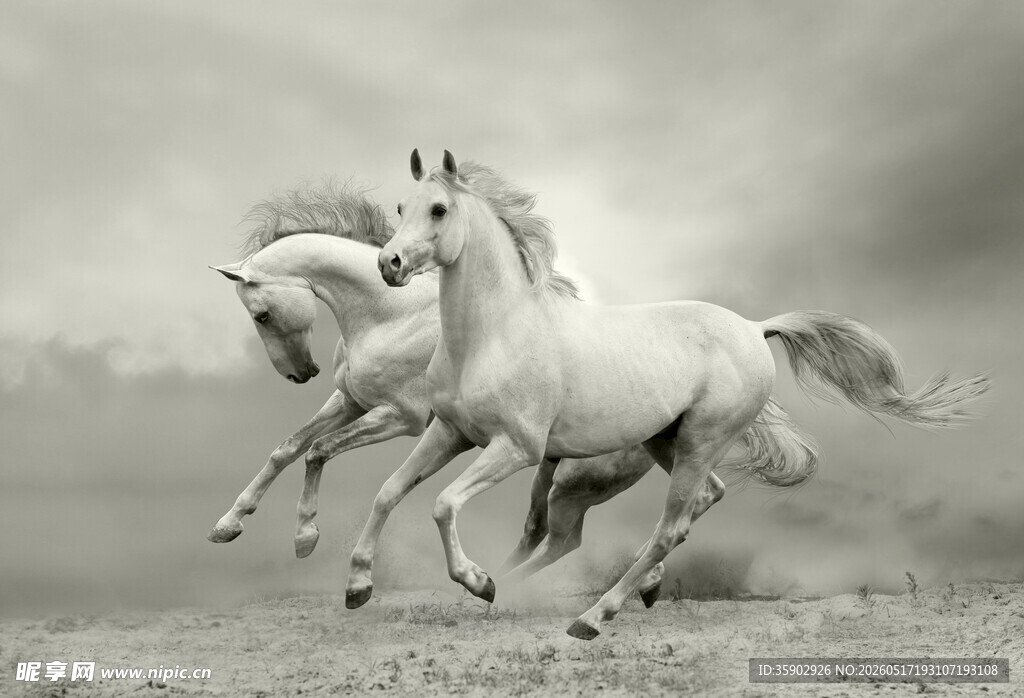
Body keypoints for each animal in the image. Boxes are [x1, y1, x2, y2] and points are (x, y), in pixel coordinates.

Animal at [206, 184, 683, 604]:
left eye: (262, 315)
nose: (301, 374)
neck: (389, 314)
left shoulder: (400, 418)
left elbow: (318, 451)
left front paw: (306, 537)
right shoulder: (351, 401)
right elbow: (286, 449)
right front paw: (228, 525)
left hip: (575, 477)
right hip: (561, 469)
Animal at [369, 149, 989, 639]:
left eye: (439, 209)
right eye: (400, 208)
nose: (388, 263)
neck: (493, 333)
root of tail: (755, 328)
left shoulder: (515, 447)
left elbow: (443, 503)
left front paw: (477, 581)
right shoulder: (451, 433)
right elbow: (389, 493)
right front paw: (358, 585)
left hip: (693, 443)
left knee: (664, 528)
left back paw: (591, 616)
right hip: (667, 442)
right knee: (699, 502)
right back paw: (588, 590)